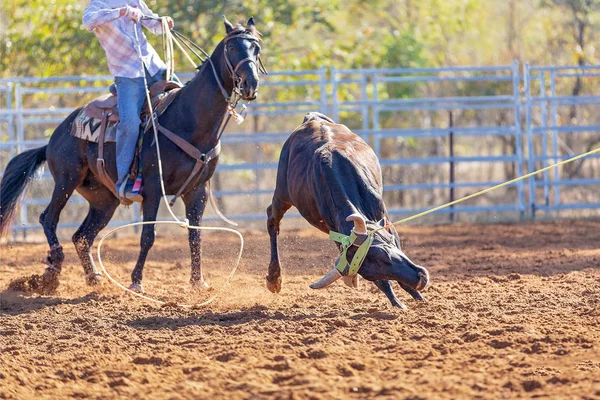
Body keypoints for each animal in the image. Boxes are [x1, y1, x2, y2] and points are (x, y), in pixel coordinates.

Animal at [0, 17, 262, 296]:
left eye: (256, 49)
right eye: (232, 48)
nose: (250, 84)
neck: (189, 120)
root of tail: (57, 134)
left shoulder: (197, 190)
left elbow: (195, 235)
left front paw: (197, 281)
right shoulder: (154, 187)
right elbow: (148, 236)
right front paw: (136, 281)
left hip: (103, 199)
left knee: (82, 236)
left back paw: (94, 277)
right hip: (66, 179)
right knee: (48, 218)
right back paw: (53, 268)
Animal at [264, 112, 428, 310]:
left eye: (388, 250)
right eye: (380, 263)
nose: (420, 278)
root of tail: (311, 118)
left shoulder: (385, 219)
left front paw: (418, 296)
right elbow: (382, 283)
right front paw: (398, 303)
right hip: (282, 193)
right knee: (272, 219)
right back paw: (274, 278)